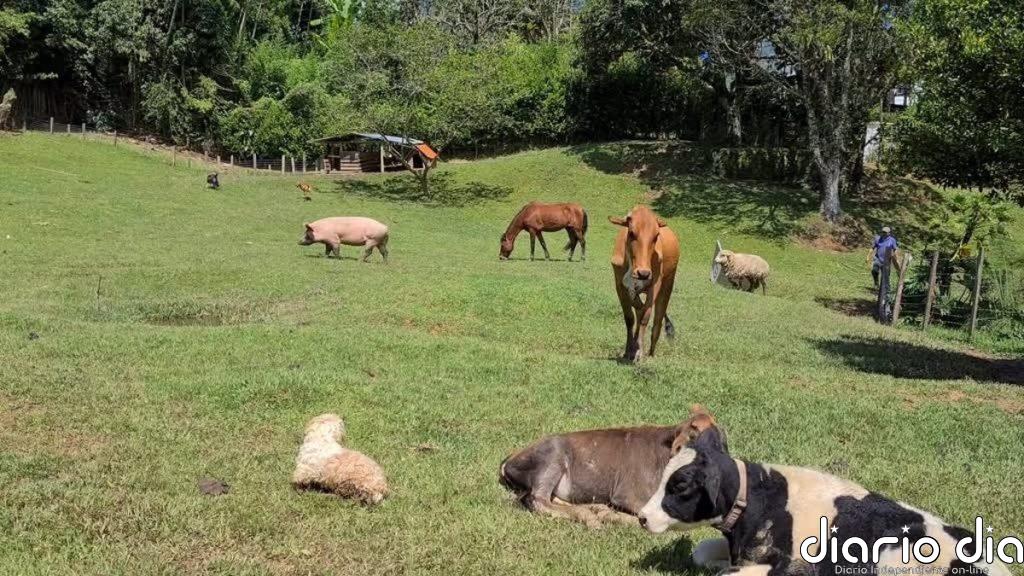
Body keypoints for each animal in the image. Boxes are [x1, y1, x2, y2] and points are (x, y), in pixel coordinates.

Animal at [499, 405, 724, 529]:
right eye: (696, 433)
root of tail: (511, 457)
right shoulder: (629, 494)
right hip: (552, 458)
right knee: (537, 499)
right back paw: (591, 517)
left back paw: (594, 508)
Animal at [610, 205, 680, 363]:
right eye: (631, 233)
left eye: (656, 236)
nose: (643, 273)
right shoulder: (620, 285)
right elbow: (630, 317)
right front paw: (628, 350)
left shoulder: (655, 285)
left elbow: (645, 316)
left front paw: (638, 351)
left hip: (667, 285)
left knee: (657, 320)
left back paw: (650, 352)